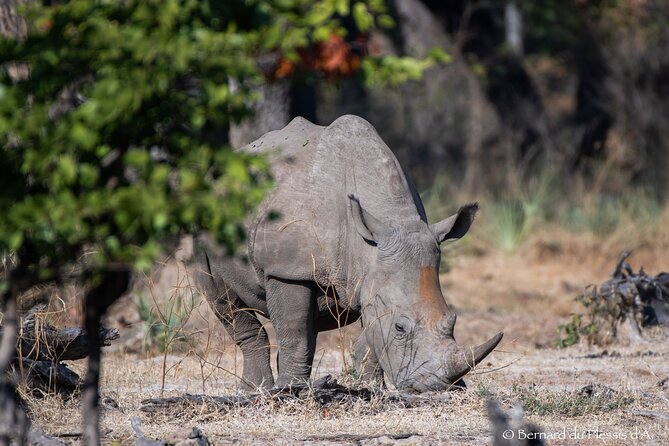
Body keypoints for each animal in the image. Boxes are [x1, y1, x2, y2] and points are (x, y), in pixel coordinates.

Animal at [193, 115, 503, 392]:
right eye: (400, 328)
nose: (438, 388)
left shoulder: (372, 275)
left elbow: (369, 339)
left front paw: (371, 388)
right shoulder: (288, 269)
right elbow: (294, 331)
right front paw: (290, 392)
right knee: (223, 298)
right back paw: (257, 391)